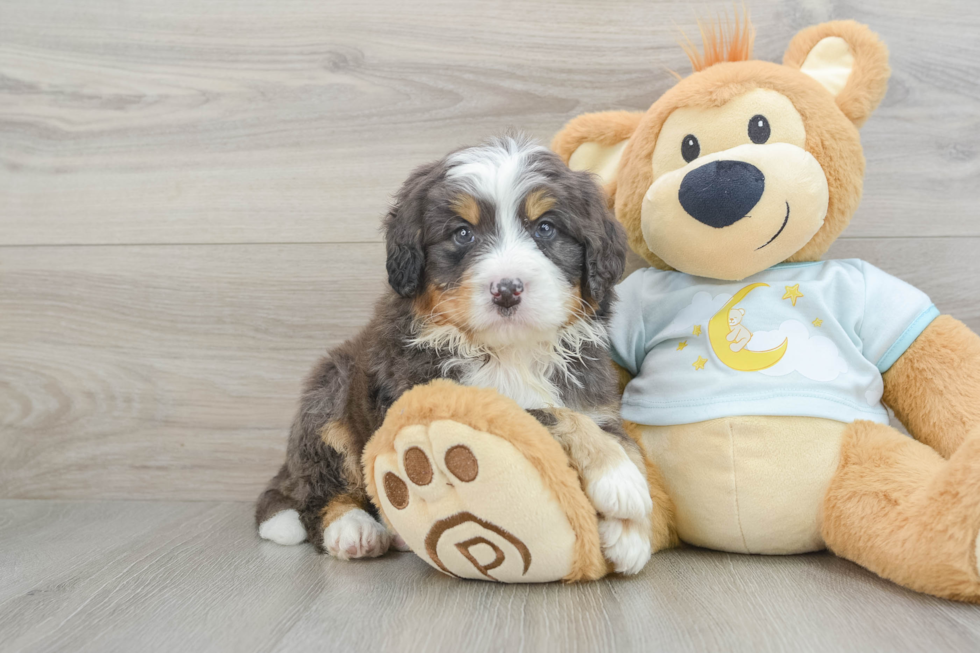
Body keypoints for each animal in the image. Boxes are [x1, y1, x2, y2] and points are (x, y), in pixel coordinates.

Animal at [258, 135, 660, 572]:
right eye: (463, 233)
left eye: (545, 228)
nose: (507, 290)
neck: (509, 352)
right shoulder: (449, 398)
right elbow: (551, 414)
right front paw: (621, 482)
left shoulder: (593, 395)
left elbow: (621, 439)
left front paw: (629, 530)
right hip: (329, 392)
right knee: (317, 491)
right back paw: (353, 529)